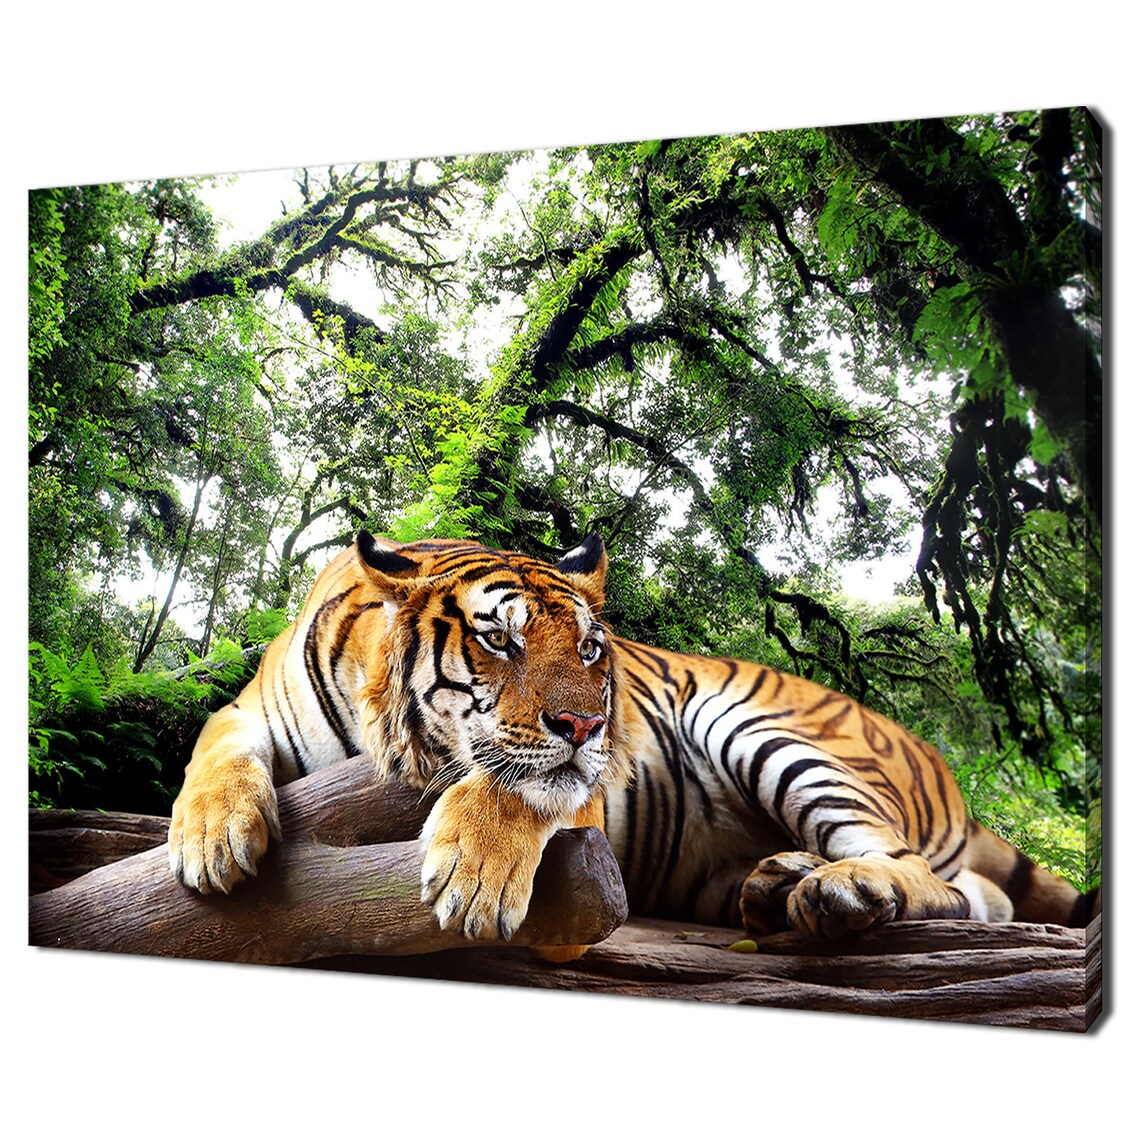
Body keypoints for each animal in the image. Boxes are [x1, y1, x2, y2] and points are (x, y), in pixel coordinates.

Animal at [168, 530, 1096, 954]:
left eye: (588, 649)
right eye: (499, 640)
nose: (587, 727)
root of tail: (937, 759)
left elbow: (517, 785)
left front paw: (474, 880)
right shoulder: (252, 707)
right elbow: (213, 744)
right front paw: (212, 837)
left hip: (761, 729)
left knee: (932, 879)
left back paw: (840, 891)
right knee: (986, 895)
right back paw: (780, 883)